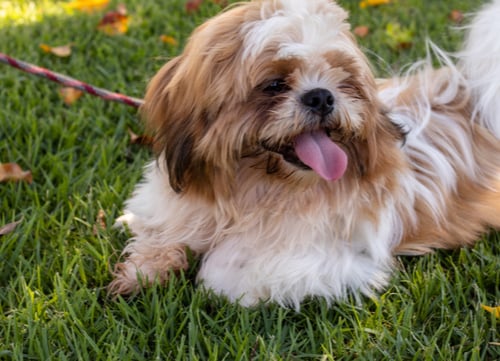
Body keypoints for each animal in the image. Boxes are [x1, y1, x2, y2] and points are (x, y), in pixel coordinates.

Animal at [109, 0, 500, 306]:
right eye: (274, 84)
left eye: (343, 80)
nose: (321, 96)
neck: (249, 187)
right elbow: (158, 227)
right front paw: (143, 268)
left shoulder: (333, 260)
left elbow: (224, 271)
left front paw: (206, 276)